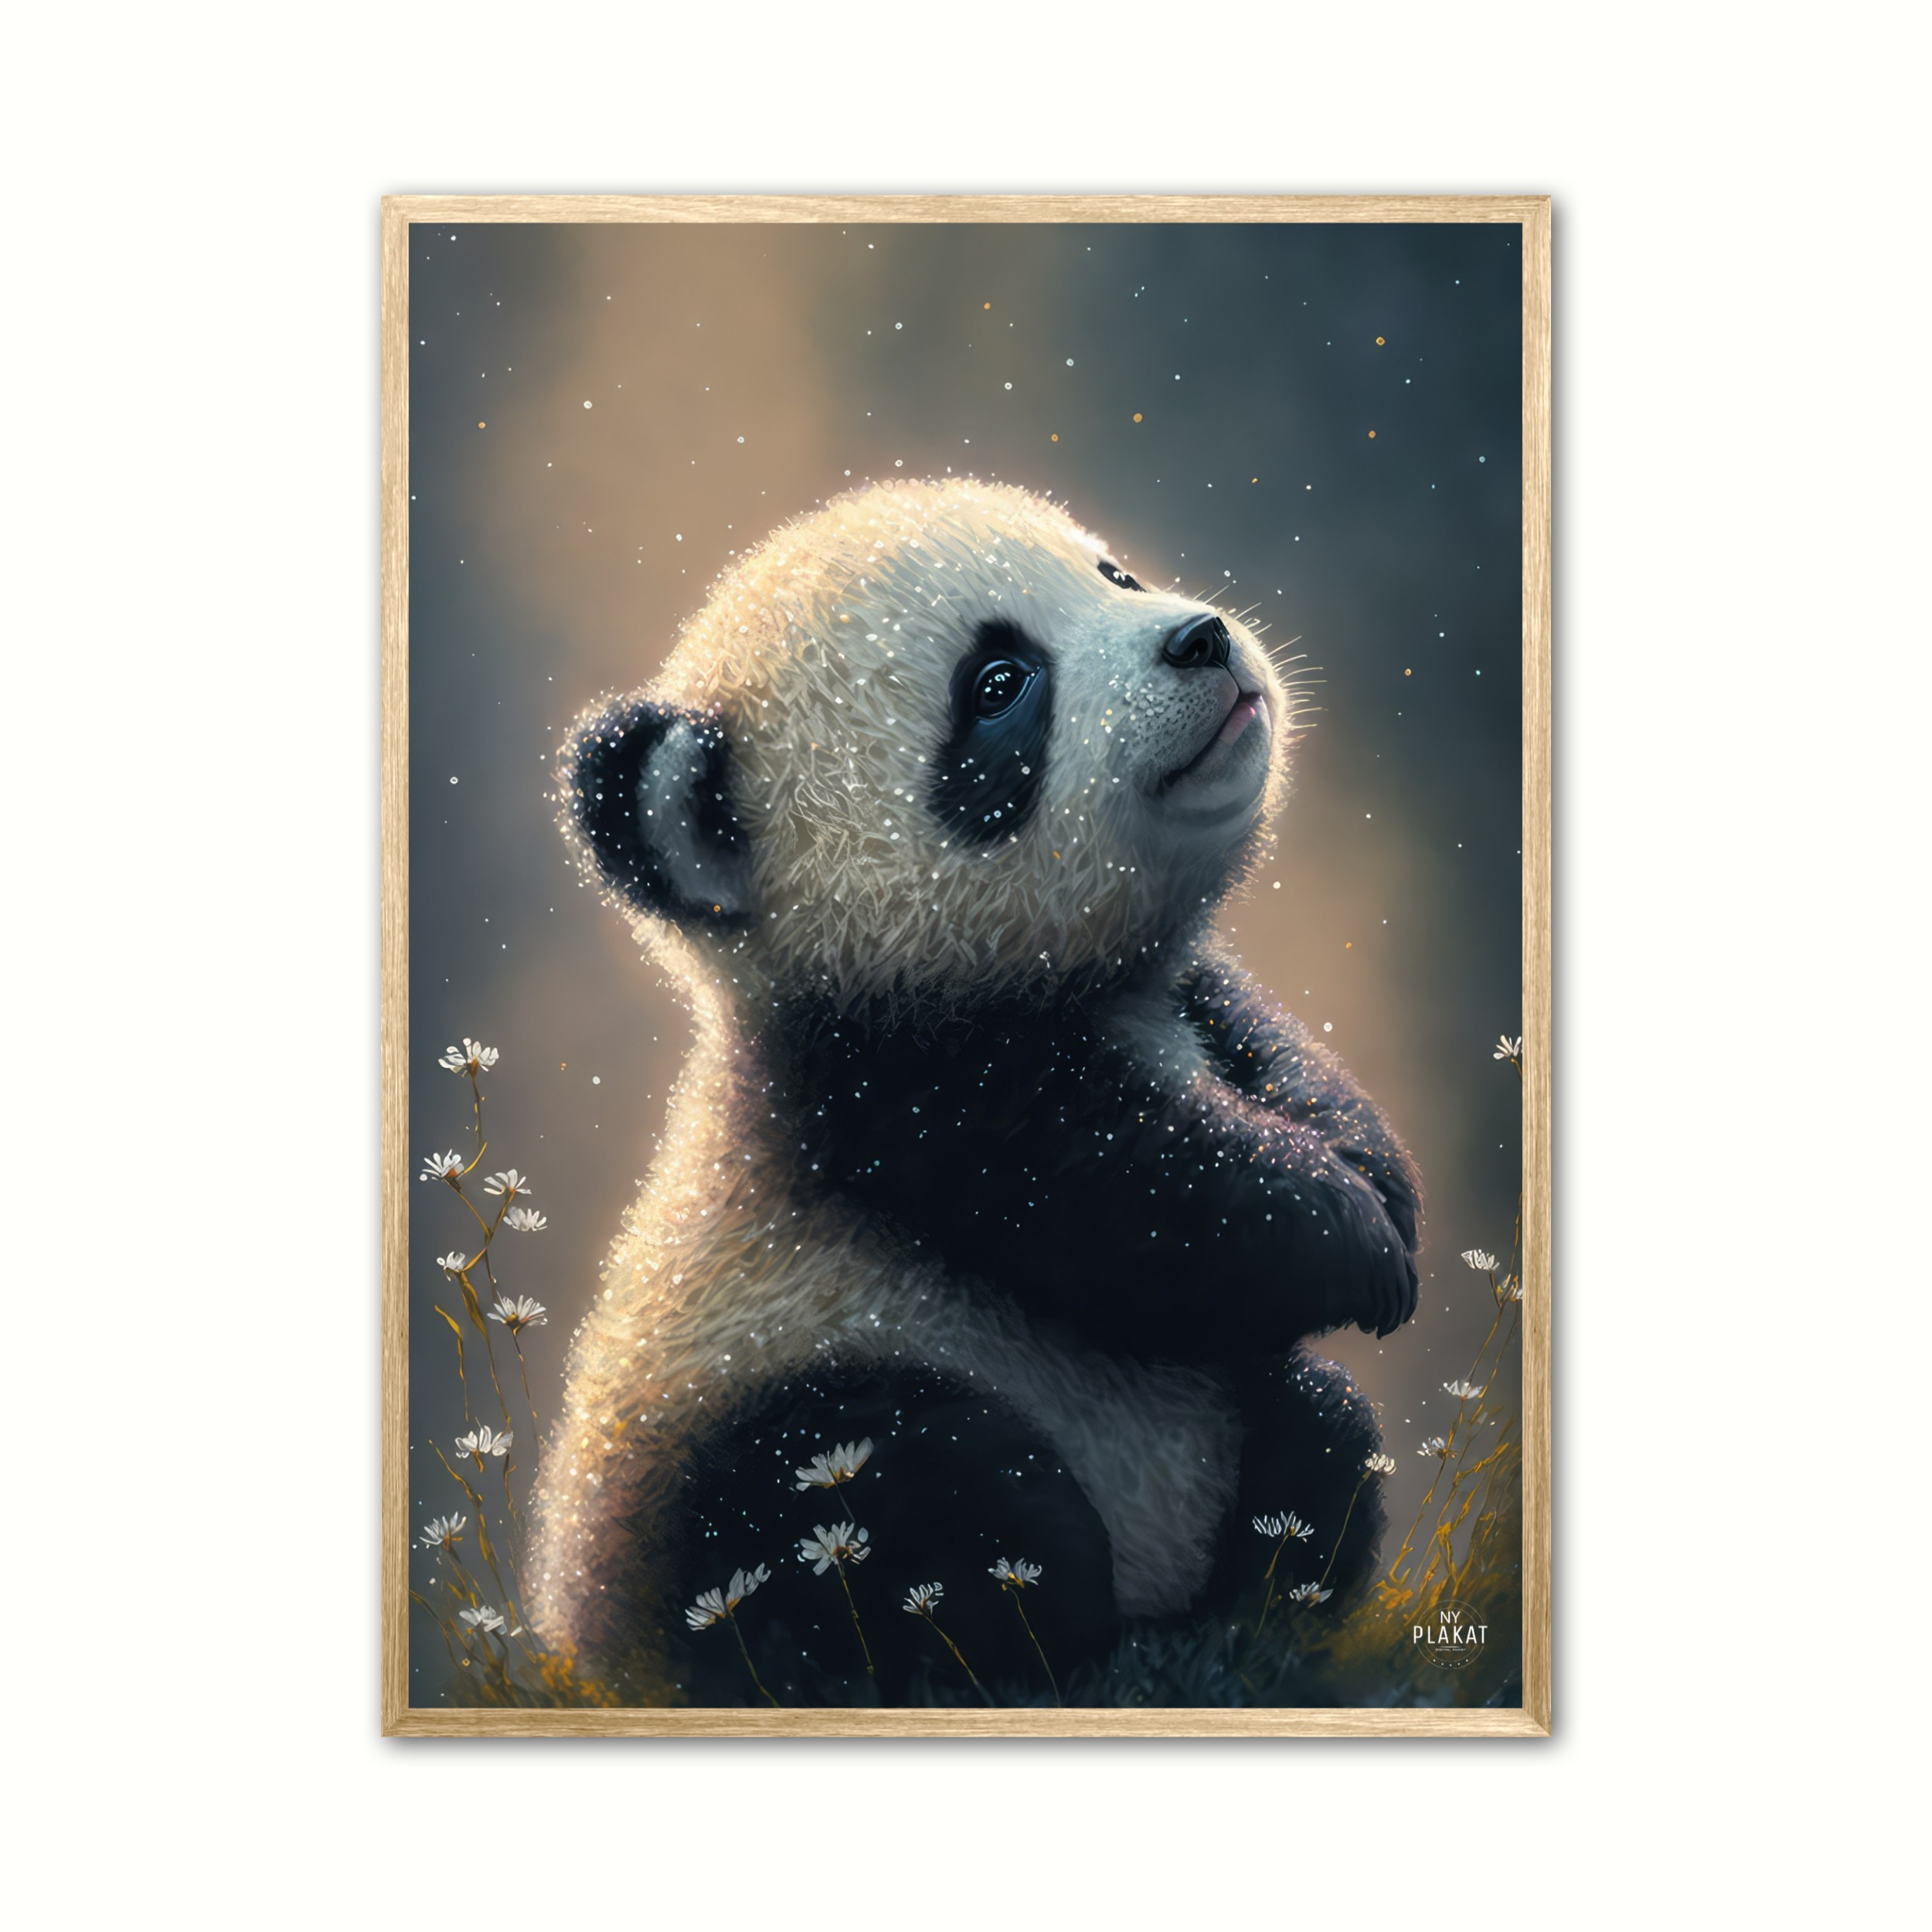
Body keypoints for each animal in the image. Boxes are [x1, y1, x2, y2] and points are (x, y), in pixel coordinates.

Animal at [529, 478, 1422, 1705]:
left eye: (1113, 575)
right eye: (999, 686)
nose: (1201, 639)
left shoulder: (1172, 1001)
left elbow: (1275, 1058)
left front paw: (1382, 1188)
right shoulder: (902, 1094)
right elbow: (1147, 1202)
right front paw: (1356, 1244)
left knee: (1316, 1425)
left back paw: (1244, 1620)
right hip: (731, 1453)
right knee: (919, 1497)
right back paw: (1061, 1653)